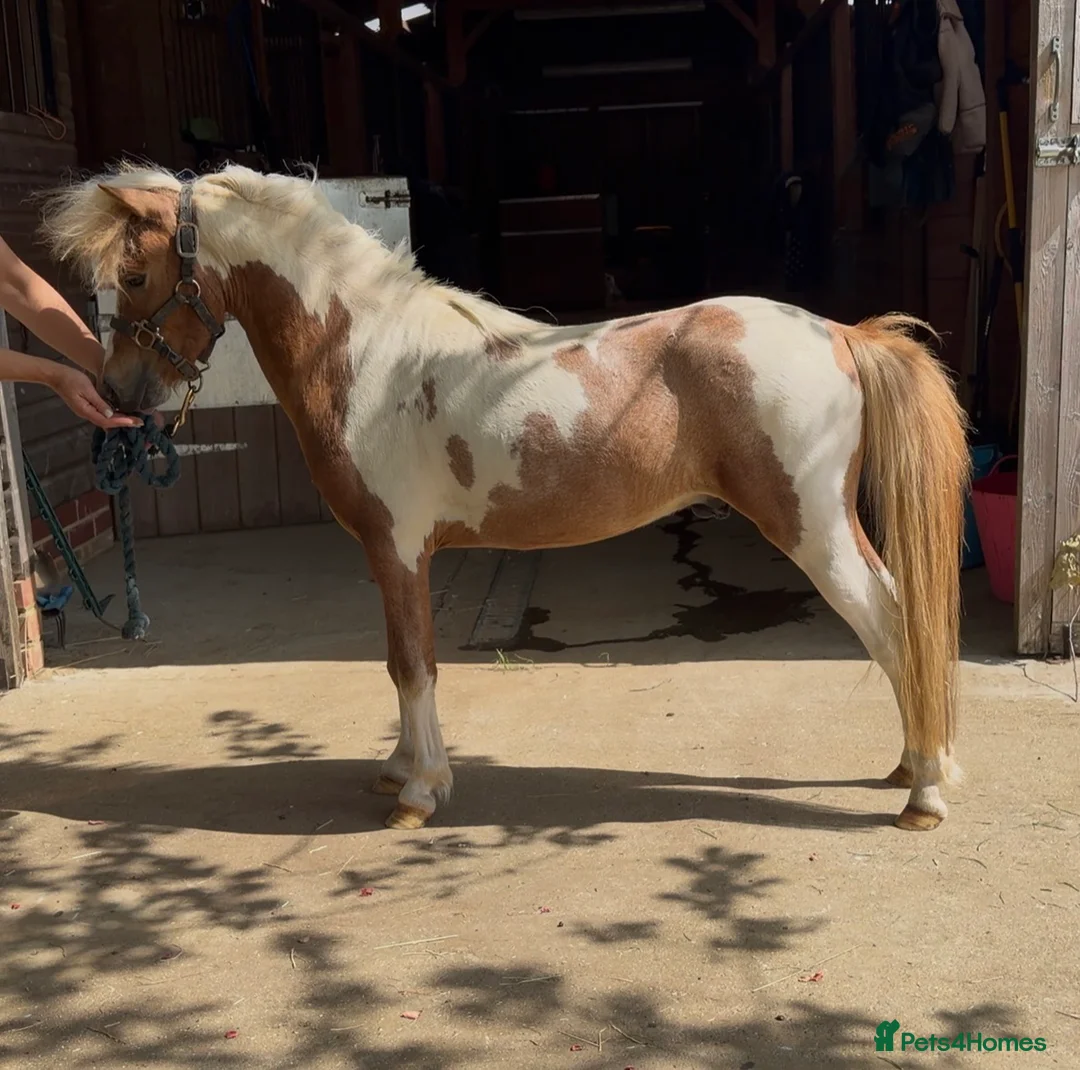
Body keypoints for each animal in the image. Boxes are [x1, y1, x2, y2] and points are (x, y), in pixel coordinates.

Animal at [41, 164, 970, 833]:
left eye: (134, 271)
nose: (118, 392)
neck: (365, 354)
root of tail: (840, 333)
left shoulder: (399, 548)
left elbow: (413, 663)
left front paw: (419, 794)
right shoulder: (390, 554)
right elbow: (397, 661)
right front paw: (399, 769)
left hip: (812, 529)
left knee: (891, 625)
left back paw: (923, 796)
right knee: (904, 623)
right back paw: (913, 763)